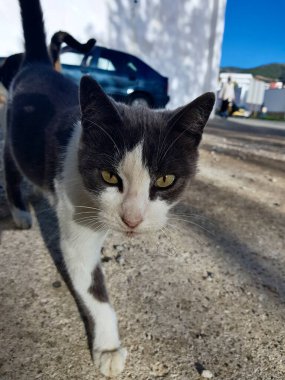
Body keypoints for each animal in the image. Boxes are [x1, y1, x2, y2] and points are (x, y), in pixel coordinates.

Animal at [3, 0, 213, 376]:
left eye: (164, 180)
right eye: (109, 176)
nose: (132, 218)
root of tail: (38, 63)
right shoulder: (74, 216)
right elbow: (91, 284)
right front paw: (108, 348)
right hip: (13, 133)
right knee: (11, 162)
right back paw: (19, 210)